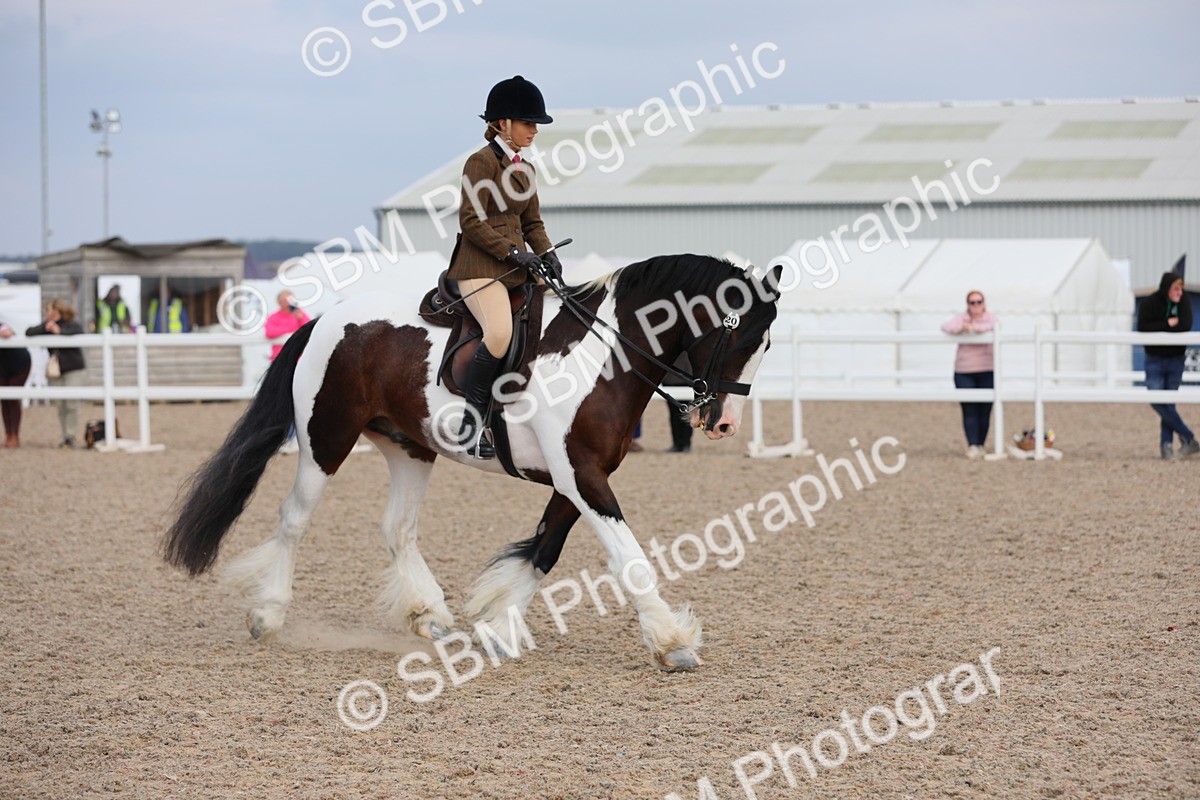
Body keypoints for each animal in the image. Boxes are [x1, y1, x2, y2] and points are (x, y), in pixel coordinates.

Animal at [164, 254, 783, 670]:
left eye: (768, 343)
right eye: (735, 333)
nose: (723, 422)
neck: (599, 355)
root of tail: (323, 320)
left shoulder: (577, 477)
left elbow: (544, 550)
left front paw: (498, 626)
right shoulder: (582, 475)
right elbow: (626, 557)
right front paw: (672, 642)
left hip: (410, 448)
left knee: (398, 528)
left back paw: (429, 614)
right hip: (325, 440)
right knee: (294, 519)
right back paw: (268, 614)